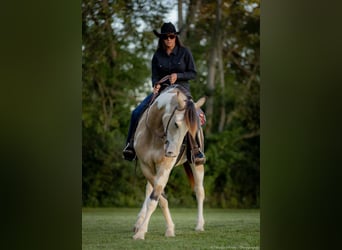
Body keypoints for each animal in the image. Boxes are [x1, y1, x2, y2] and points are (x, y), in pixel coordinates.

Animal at [132, 85, 204, 239]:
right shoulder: (145, 166)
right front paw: (166, 228)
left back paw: (200, 225)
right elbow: (159, 197)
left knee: (199, 191)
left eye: (189, 129)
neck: (154, 132)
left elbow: (156, 197)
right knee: (149, 189)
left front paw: (142, 233)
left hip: (197, 164)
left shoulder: (164, 167)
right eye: (176, 124)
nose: (172, 153)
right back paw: (139, 222)